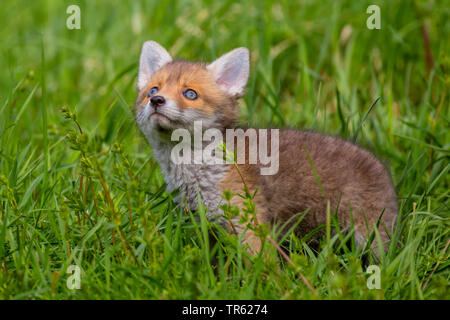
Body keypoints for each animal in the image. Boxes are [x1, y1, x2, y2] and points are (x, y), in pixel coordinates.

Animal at [134, 40, 398, 255]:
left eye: (190, 94)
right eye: (153, 90)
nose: (156, 101)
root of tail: (382, 168)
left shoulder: (250, 223)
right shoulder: (207, 225)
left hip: (370, 237)